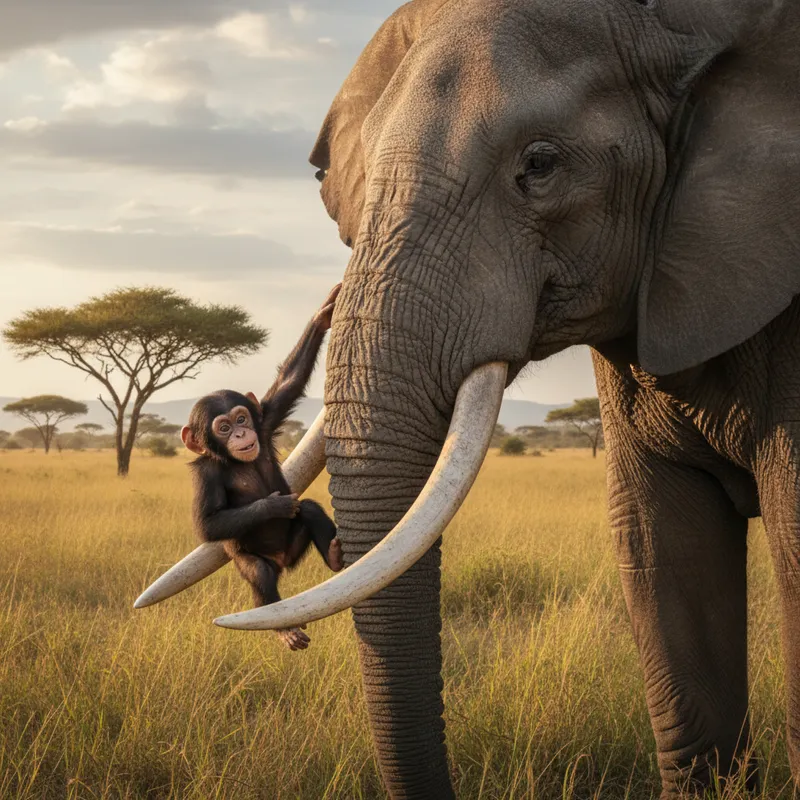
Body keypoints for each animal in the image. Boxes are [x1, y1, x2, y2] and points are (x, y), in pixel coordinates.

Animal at [180, 284, 343, 651]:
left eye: (241, 418)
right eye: (224, 428)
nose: (241, 433)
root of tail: (283, 562)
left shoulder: (266, 421)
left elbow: (289, 382)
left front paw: (322, 314)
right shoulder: (205, 474)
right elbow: (207, 524)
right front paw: (273, 505)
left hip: (294, 549)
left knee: (309, 509)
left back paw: (335, 557)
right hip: (253, 561)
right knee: (259, 573)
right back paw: (284, 626)